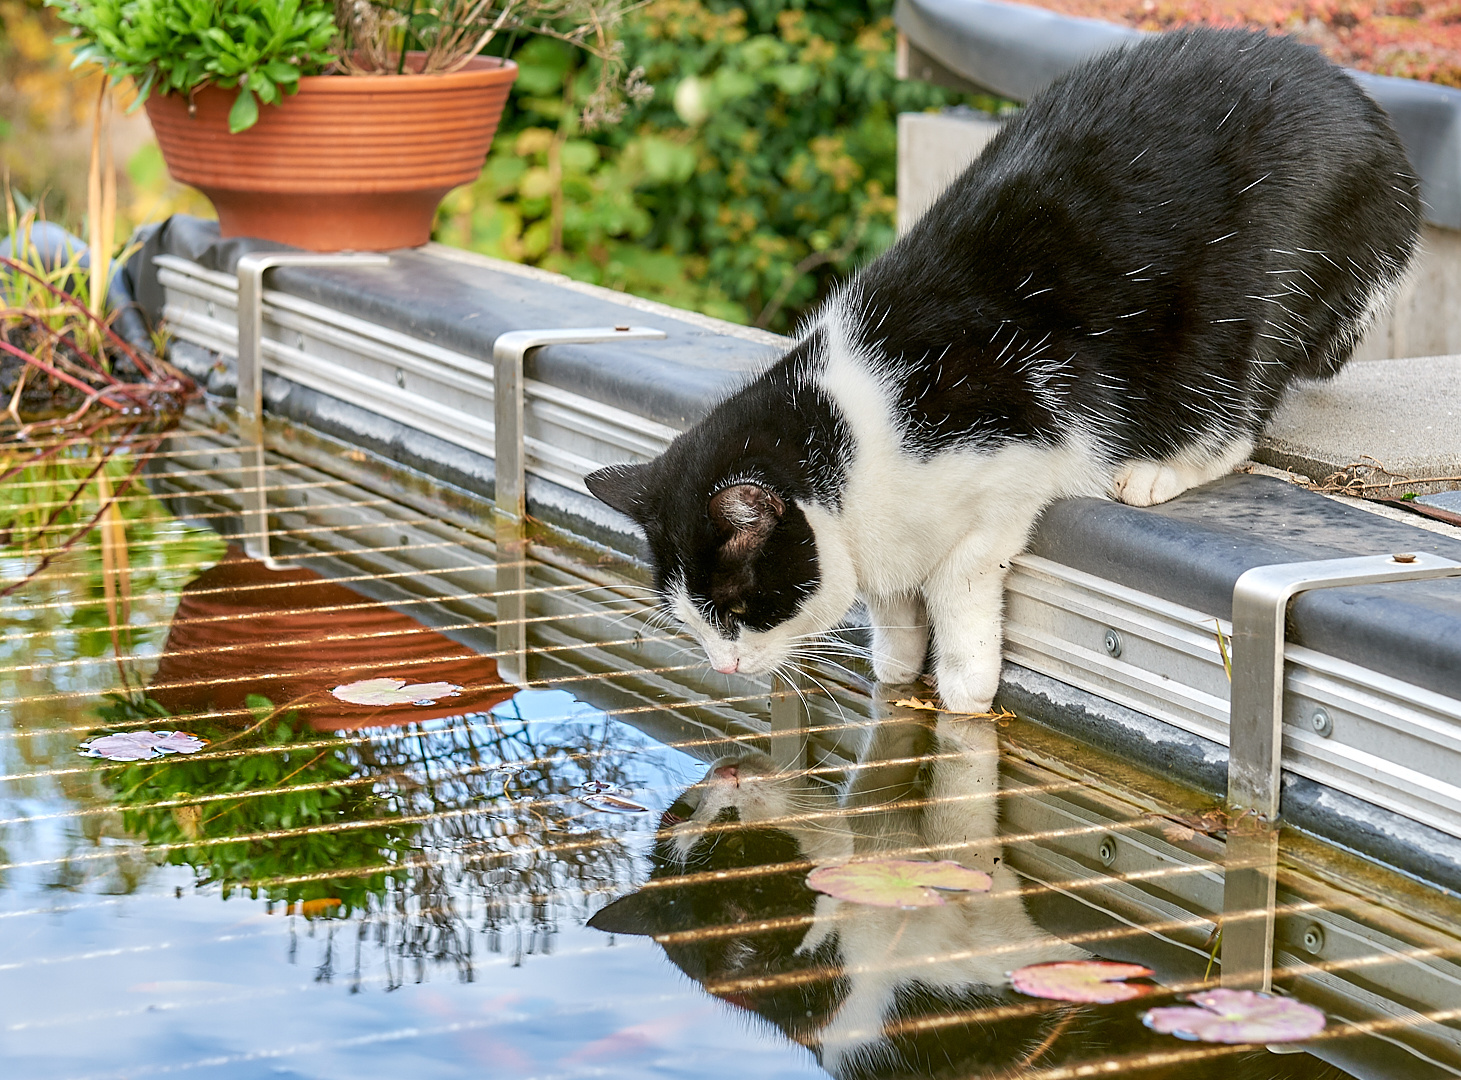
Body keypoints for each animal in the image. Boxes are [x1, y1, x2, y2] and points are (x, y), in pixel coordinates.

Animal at [587, 27, 1420, 719]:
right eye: (689, 620)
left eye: (735, 610)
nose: (723, 667)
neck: (856, 433)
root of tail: (1361, 109)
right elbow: (894, 609)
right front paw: (895, 665)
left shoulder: (1003, 466)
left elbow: (957, 585)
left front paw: (962, 688)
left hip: (1244, 295)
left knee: (1235, 408)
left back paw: (1161, 469)